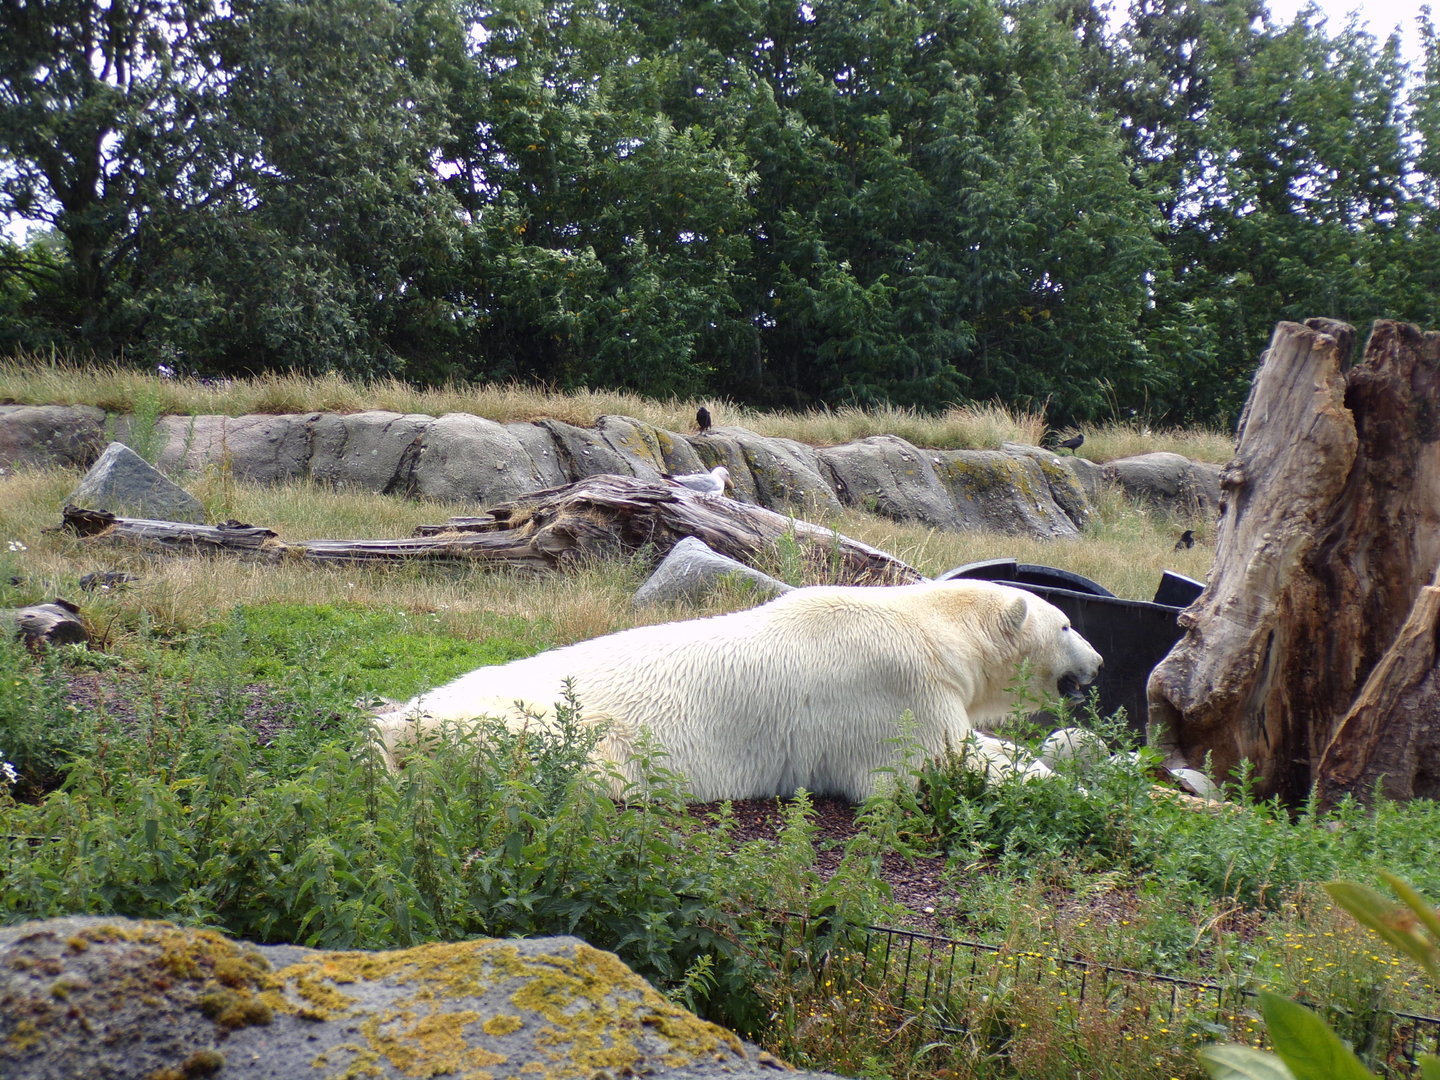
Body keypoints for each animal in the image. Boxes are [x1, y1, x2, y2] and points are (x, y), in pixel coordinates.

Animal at [373, 579, 1104, 803]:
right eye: (1069, 624)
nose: (1099, 663)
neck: (930, 627)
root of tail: (401, 721)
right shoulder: (894, 689)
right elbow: (934, 762)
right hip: (547, 729)